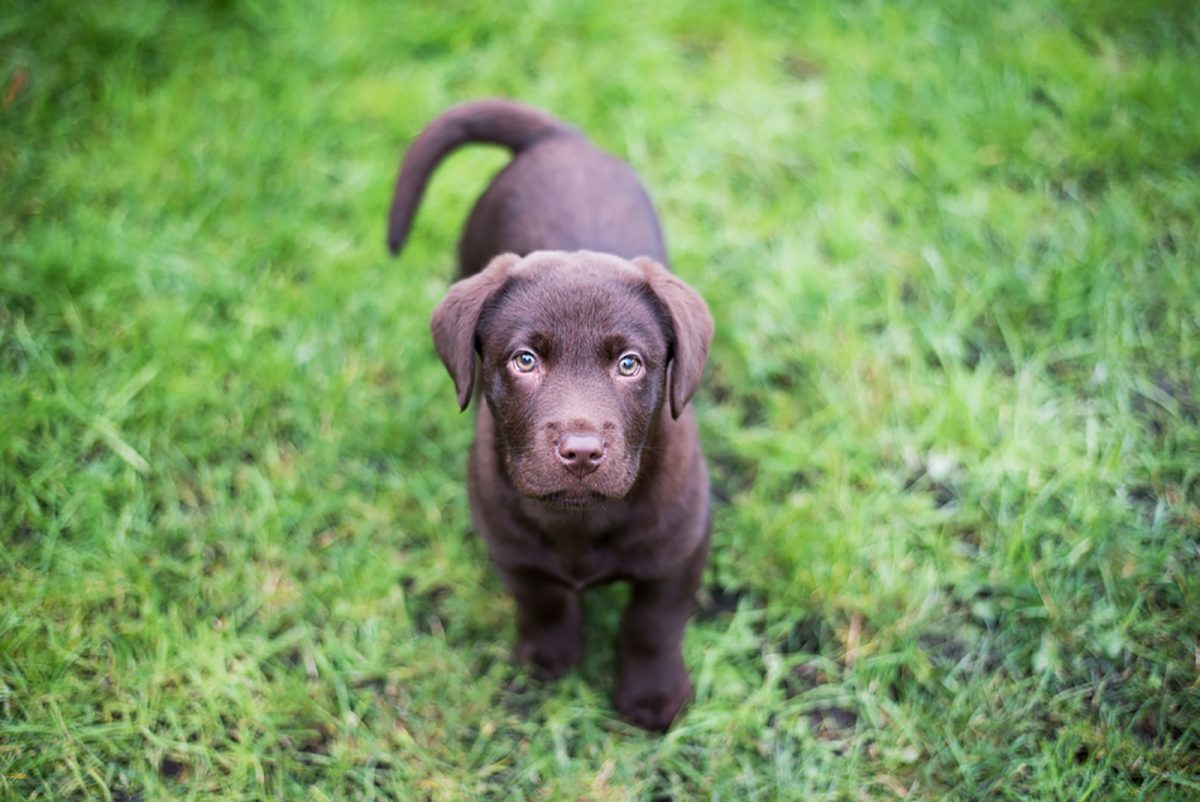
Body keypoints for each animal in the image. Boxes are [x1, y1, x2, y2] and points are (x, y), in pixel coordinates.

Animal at [388, 100, 710, 734]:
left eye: (630, 364)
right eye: (525, 360)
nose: (581, 451)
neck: (580, 521)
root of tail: (559, 139)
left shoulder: (680, 548)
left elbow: (653, 624)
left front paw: (653, 696)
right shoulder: (509, 542)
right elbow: (543, 599)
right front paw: (548, 658)